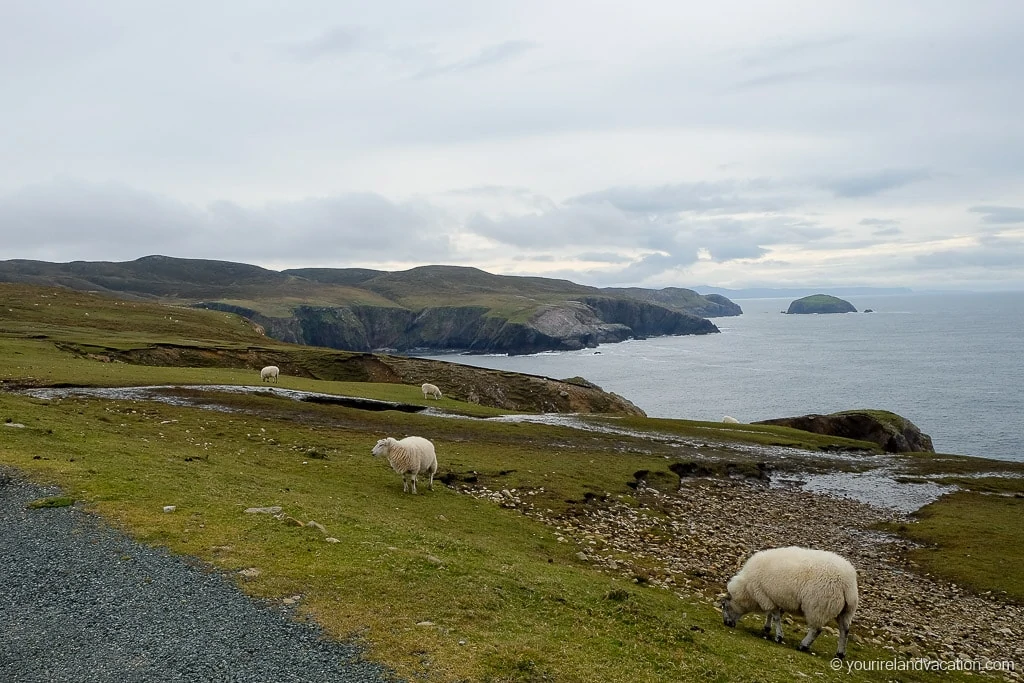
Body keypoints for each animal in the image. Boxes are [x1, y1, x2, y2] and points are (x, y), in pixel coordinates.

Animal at [720, 548, 856, 659]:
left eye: (724, 605)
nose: (726, 623)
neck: (746, 590)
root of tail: (847, 583)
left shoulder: (765, 596)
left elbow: (776, 617)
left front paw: (779, 636)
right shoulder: (775, 598)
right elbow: (773, 615)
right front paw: (767, 628)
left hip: (817, 606)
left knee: (816, 630)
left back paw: (803, 646)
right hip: (846, 610)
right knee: (845, 630)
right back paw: (840, 653)